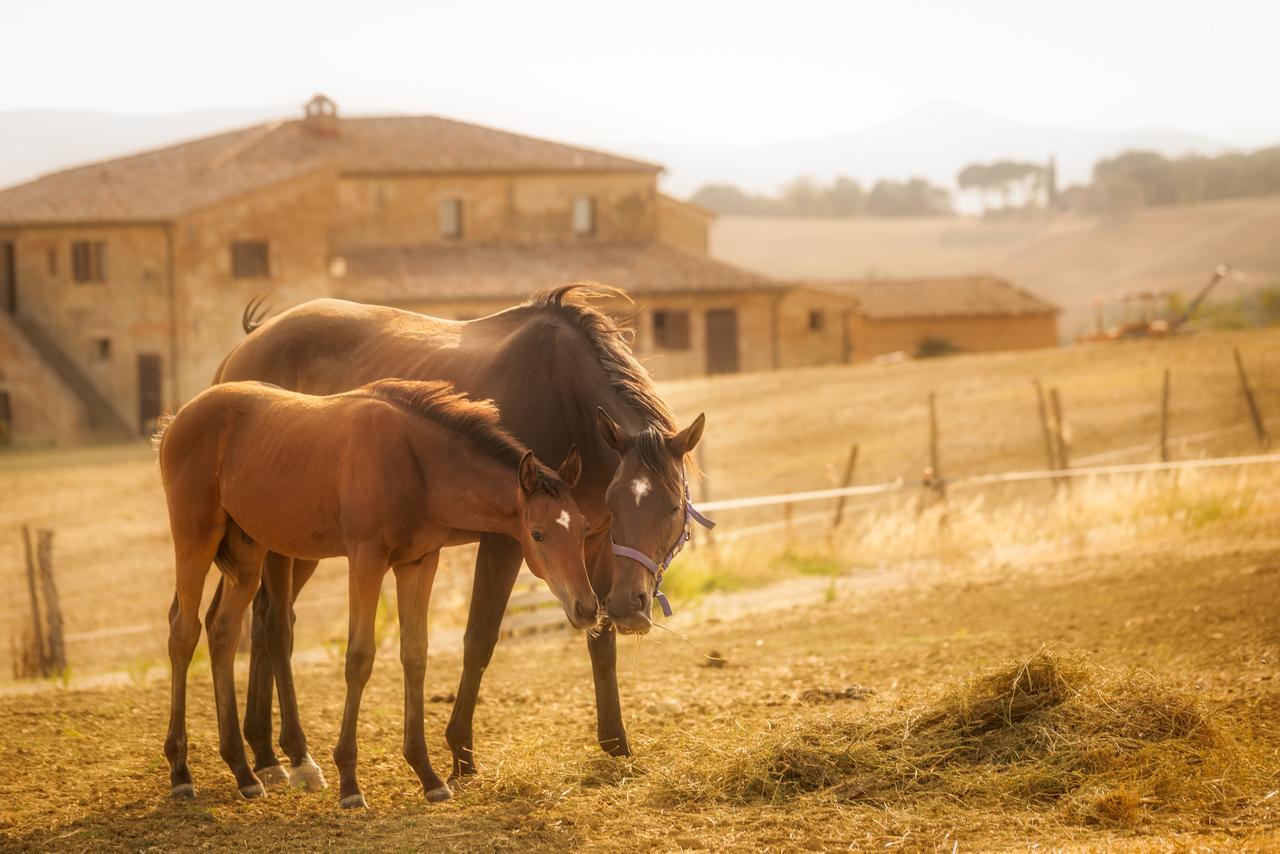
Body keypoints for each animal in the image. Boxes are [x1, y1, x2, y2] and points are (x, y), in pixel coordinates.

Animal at [157, 381, 596, 809]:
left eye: (584, 527)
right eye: (537, 534)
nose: (587, 608)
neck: (416, 465)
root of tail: (177, 419)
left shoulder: (418, 563)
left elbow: (415, 655)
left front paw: (427, 774)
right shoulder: (366, 560)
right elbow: (359, 657)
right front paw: (349, 782)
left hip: (247, 555)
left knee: (223, 632)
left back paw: (244, 773)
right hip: (196, 539)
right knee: (184, 633)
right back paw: (181, 772)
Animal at [213, 285, 706, 788]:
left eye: (671, 507)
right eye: (618, 502)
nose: (632, 608)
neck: (564, 398)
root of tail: (244, 347)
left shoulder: (594, 543)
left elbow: (600, 638)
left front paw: (616, 743)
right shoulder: (507, 542)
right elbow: (480, 638)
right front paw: (460, 754)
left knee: (258, 620)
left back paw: (265, 753)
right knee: (267, 625)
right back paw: (286, 755)